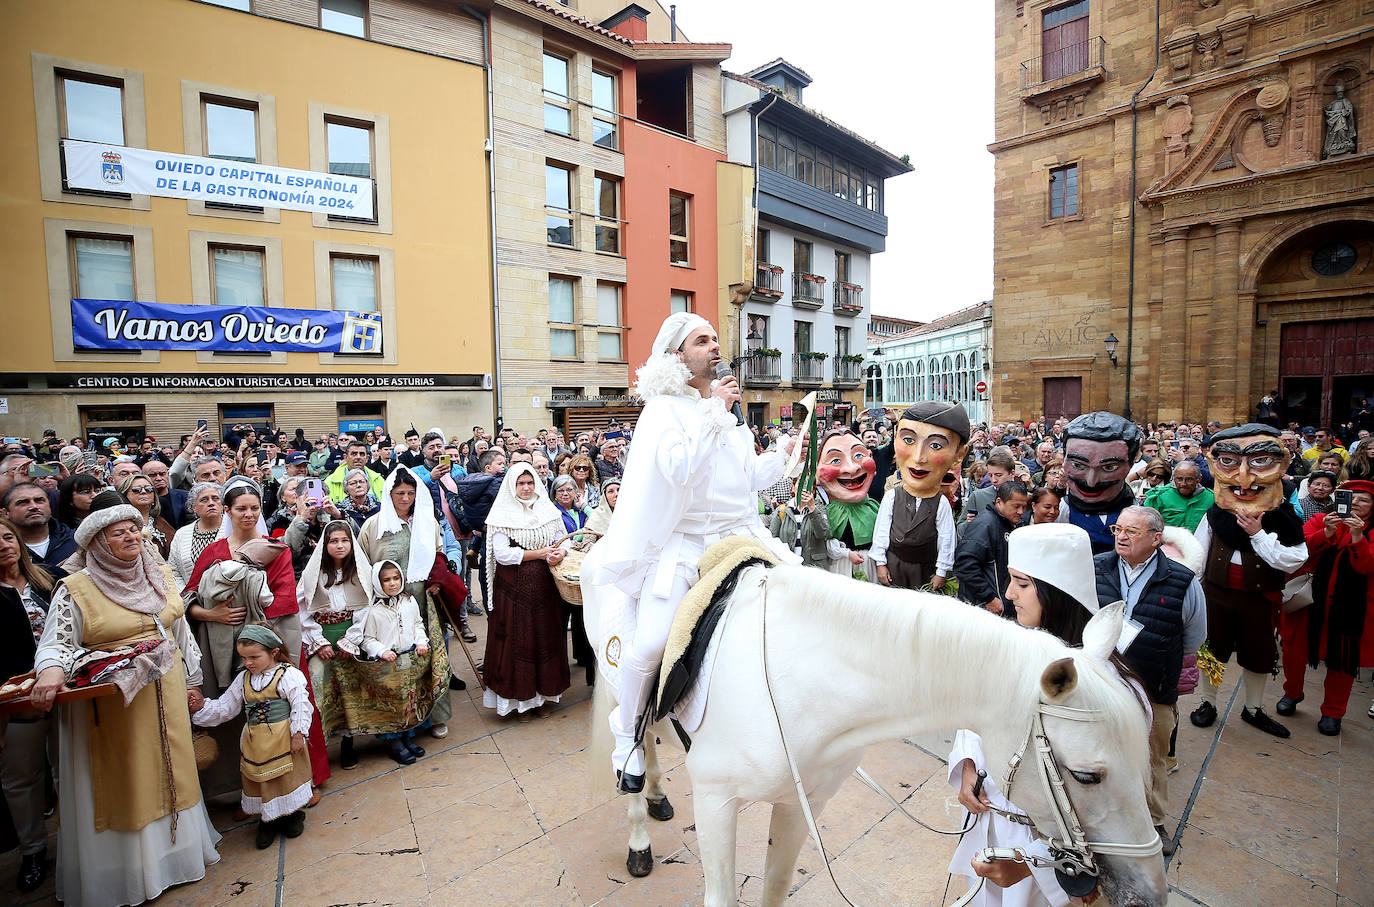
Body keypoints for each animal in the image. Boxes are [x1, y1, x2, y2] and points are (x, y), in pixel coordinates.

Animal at [588, 563, 1170, 901]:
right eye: (1088, 776)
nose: (1150, 890)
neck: (801, 678)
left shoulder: (802, 803)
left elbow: (776, 886)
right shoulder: (715, 803)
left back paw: (659, 795)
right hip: (620, 680)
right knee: (628, 738)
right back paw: (639, 830)